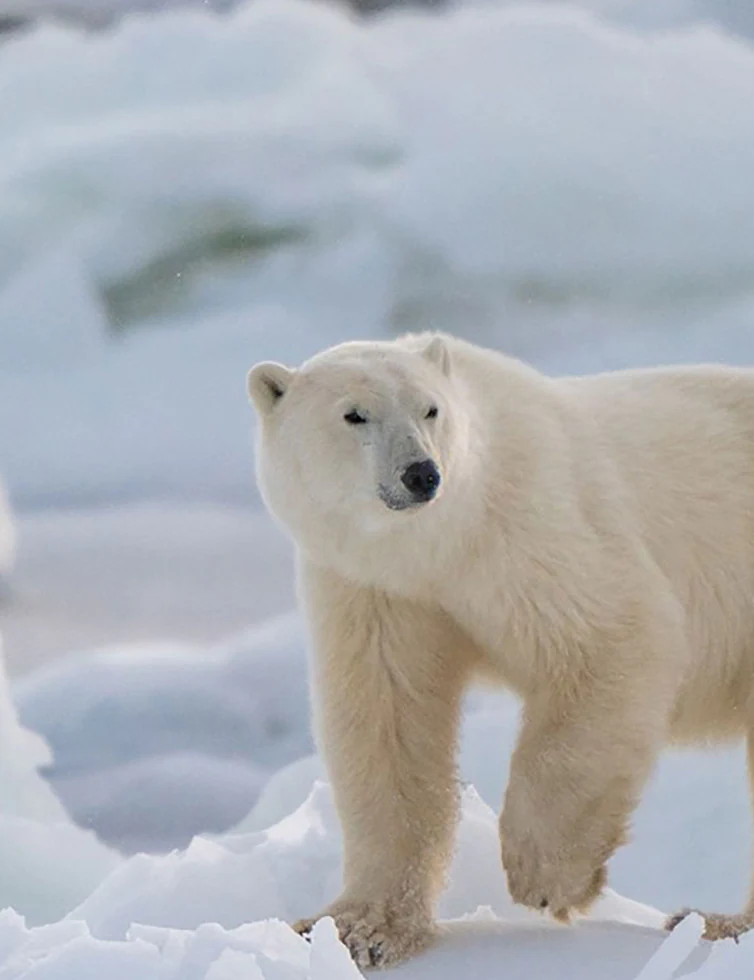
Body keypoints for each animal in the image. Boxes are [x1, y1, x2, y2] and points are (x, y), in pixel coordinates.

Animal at [248, 334, 754, 968]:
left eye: (430, 409)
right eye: (353, 414)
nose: (421, 474)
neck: (440, 545)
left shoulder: (528, 527)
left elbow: (613, 638)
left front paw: (546, 876)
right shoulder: (376, 590)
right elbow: (387, 722)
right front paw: (355, 928)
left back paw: (712, 922)